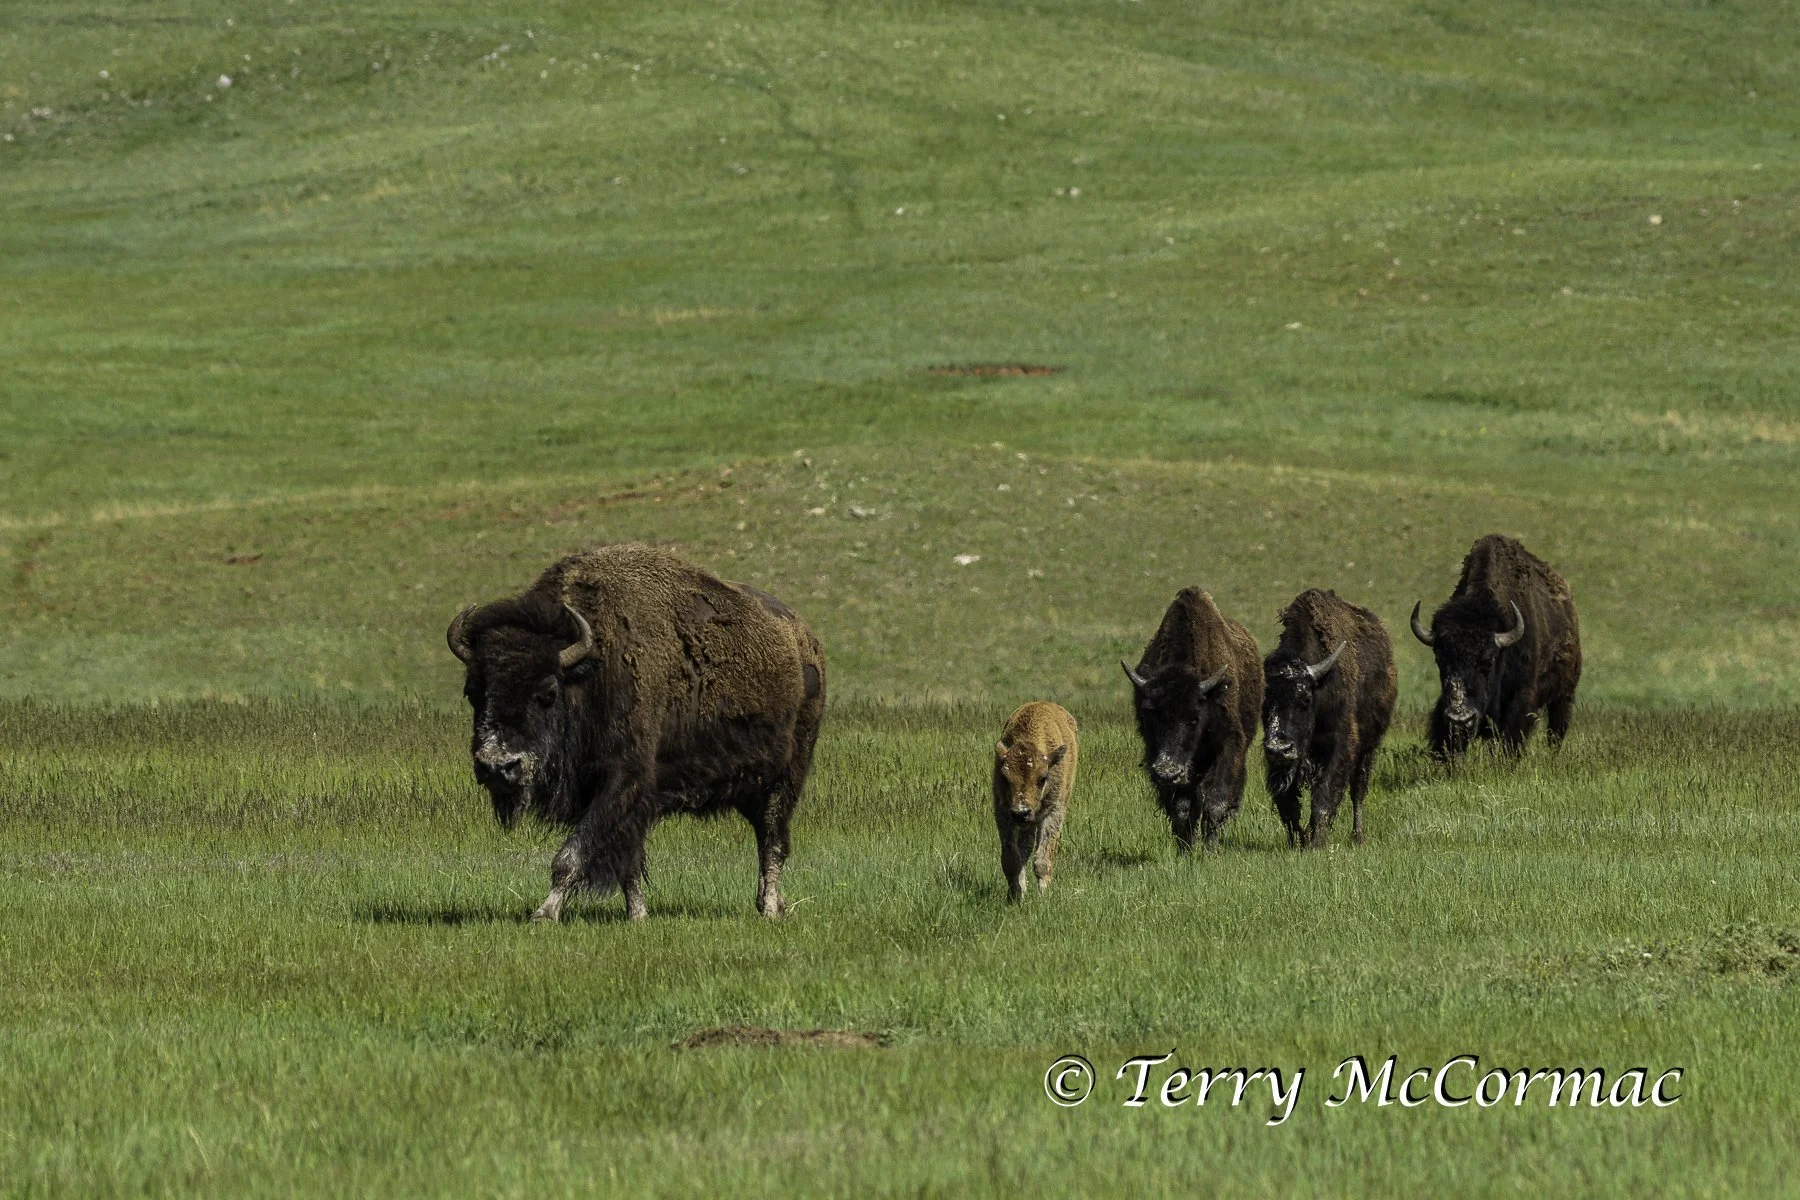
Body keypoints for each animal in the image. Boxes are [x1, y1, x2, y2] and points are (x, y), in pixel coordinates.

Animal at [446, 543, 826, 921]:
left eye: (548, 692)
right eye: (472, 692)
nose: (497, 766)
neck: (591, 669)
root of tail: (805, 640)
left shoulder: (623, 781)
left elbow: (572, 854)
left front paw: (544, 913)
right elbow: (626, 861)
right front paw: (638, 915)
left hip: (785, 779)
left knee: (773, 842)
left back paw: (770, 909)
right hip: (749, 787)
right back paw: (769, 903)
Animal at [1123, 588, 1263, 851]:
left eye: (1194, 719)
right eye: (1150, 715)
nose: (1167, 771)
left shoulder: (1229, 744)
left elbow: (1216, 800)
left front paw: (1210, 849)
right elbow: (1180, 808)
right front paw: (1186, 848)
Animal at [1262, 589, 1397, 848]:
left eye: (1304, 698)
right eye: (1265, 698)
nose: (1279, 748)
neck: (1320, 687)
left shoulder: (1340, 747)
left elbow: (1324, 797)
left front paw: (1317, 843)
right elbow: (1288, 805)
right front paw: (1299, 841)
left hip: (1368, 748)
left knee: (1358, 791)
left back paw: (1359, 837)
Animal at [1411, 533, 1581, 759]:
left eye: (1489, 661)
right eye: (1440, 660)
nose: (1460, 720)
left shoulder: (1521, 698)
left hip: (1564, 694)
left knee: (1556, 731)